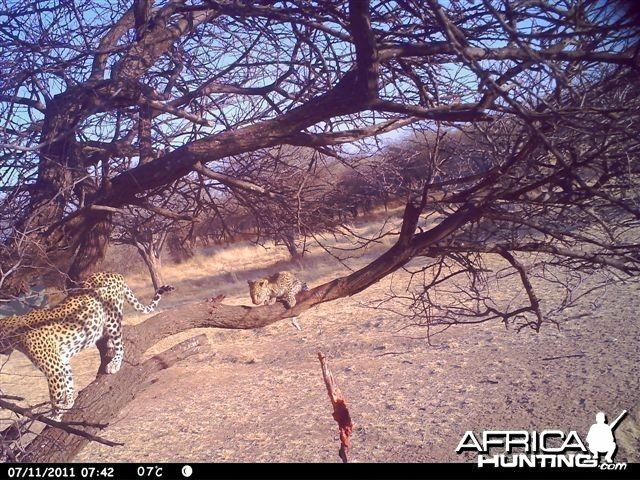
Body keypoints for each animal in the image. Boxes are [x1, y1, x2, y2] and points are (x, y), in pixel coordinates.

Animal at [0, 272, 175, 418]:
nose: (2, 352)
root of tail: (113, 273)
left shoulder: (53, 370)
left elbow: (55, 397)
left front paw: (55, 416)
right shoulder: (62, 361)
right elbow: (69, 381)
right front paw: (69, 402)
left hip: (112, 317)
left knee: (120, 343)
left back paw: (114, 363)